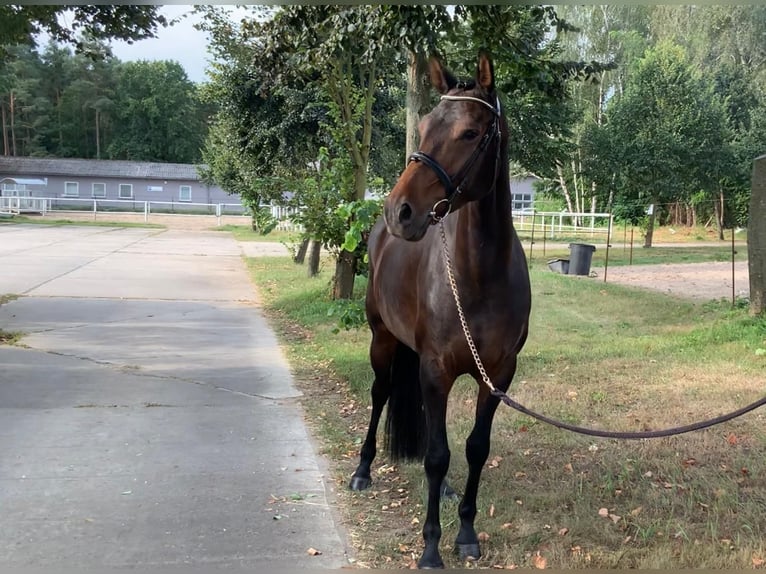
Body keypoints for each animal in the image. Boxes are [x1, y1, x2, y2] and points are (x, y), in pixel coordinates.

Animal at [352, 50, 532, 572]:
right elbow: (434, 455)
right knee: (380, 393)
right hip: (381, 340)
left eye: (470, 133)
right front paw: (431, 546)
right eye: (425, 124)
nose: (400, 211)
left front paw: (467, 533)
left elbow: (473, 449)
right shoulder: (434, 371)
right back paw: (362, 469)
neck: (481, 277)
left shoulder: (499, 376)